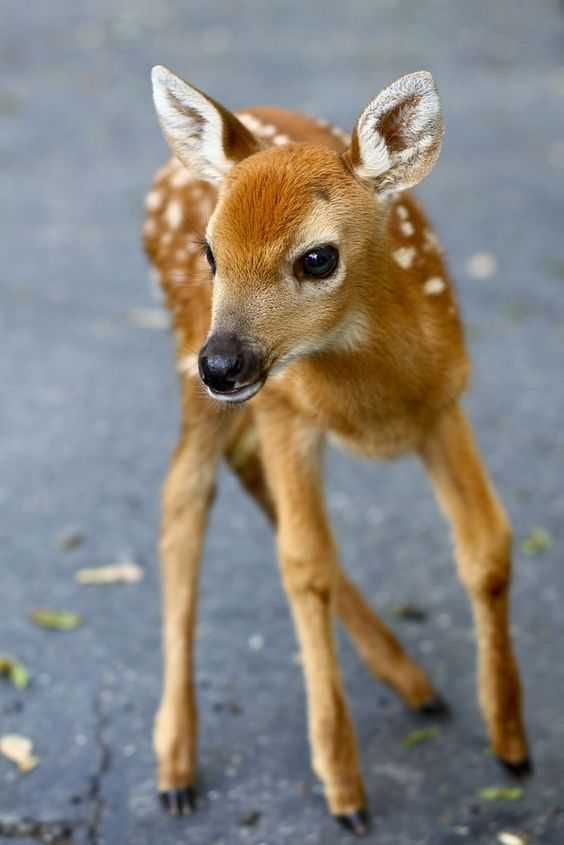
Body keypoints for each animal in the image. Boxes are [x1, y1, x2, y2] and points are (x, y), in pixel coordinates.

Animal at [144, 65, 531, 836]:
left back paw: (410, 679)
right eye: (210, 252)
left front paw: (510, 740)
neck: (374, 405)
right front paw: (343, 787)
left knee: (233, 476)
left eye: (318, 257)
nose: (222, 364)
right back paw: (175, 765)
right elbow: (304, 564)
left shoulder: (444, 402)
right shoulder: (288, 411)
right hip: (192, 362)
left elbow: (488, 545)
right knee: (184, 497)